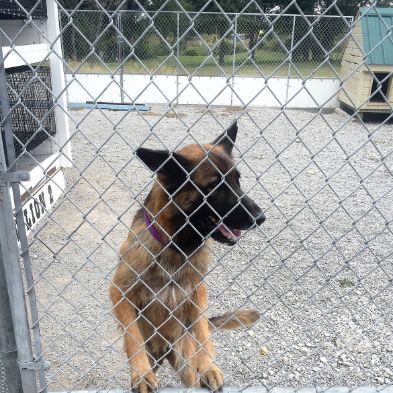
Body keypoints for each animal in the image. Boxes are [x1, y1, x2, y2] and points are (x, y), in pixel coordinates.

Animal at [108, 121, 264, 392]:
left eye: (237, 180)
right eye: (214, 186)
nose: (260, 217)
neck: (175, 247)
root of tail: (164, 347)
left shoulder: (198, 291)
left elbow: (202, 330)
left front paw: (209, 365)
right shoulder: (120, 292)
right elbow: (132, 336)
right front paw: (141, 374)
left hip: (186, 366)